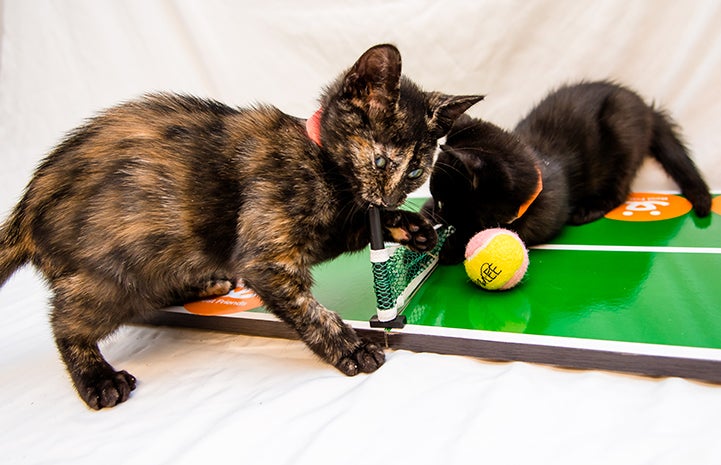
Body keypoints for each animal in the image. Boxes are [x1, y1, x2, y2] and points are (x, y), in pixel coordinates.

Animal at [2, 42, 484, 406]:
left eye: (416, 171)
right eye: (382, 161)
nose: (390, 197)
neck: (323, 167)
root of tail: (25, 209)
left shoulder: (332, 229)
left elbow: (363, 228)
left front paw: (414, 227)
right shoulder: (265, 256)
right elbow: (308, 308)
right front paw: (350, 347)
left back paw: (206, 285)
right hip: (117, 272)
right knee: (65, 321)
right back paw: (98, 378)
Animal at [424, 79, 712, 260]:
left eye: (444, 202)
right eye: (436, 199)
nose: (436, 212)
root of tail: (648, 109)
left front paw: (451, 247)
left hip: (623, 132)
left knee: (619, 190)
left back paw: (590, 208)